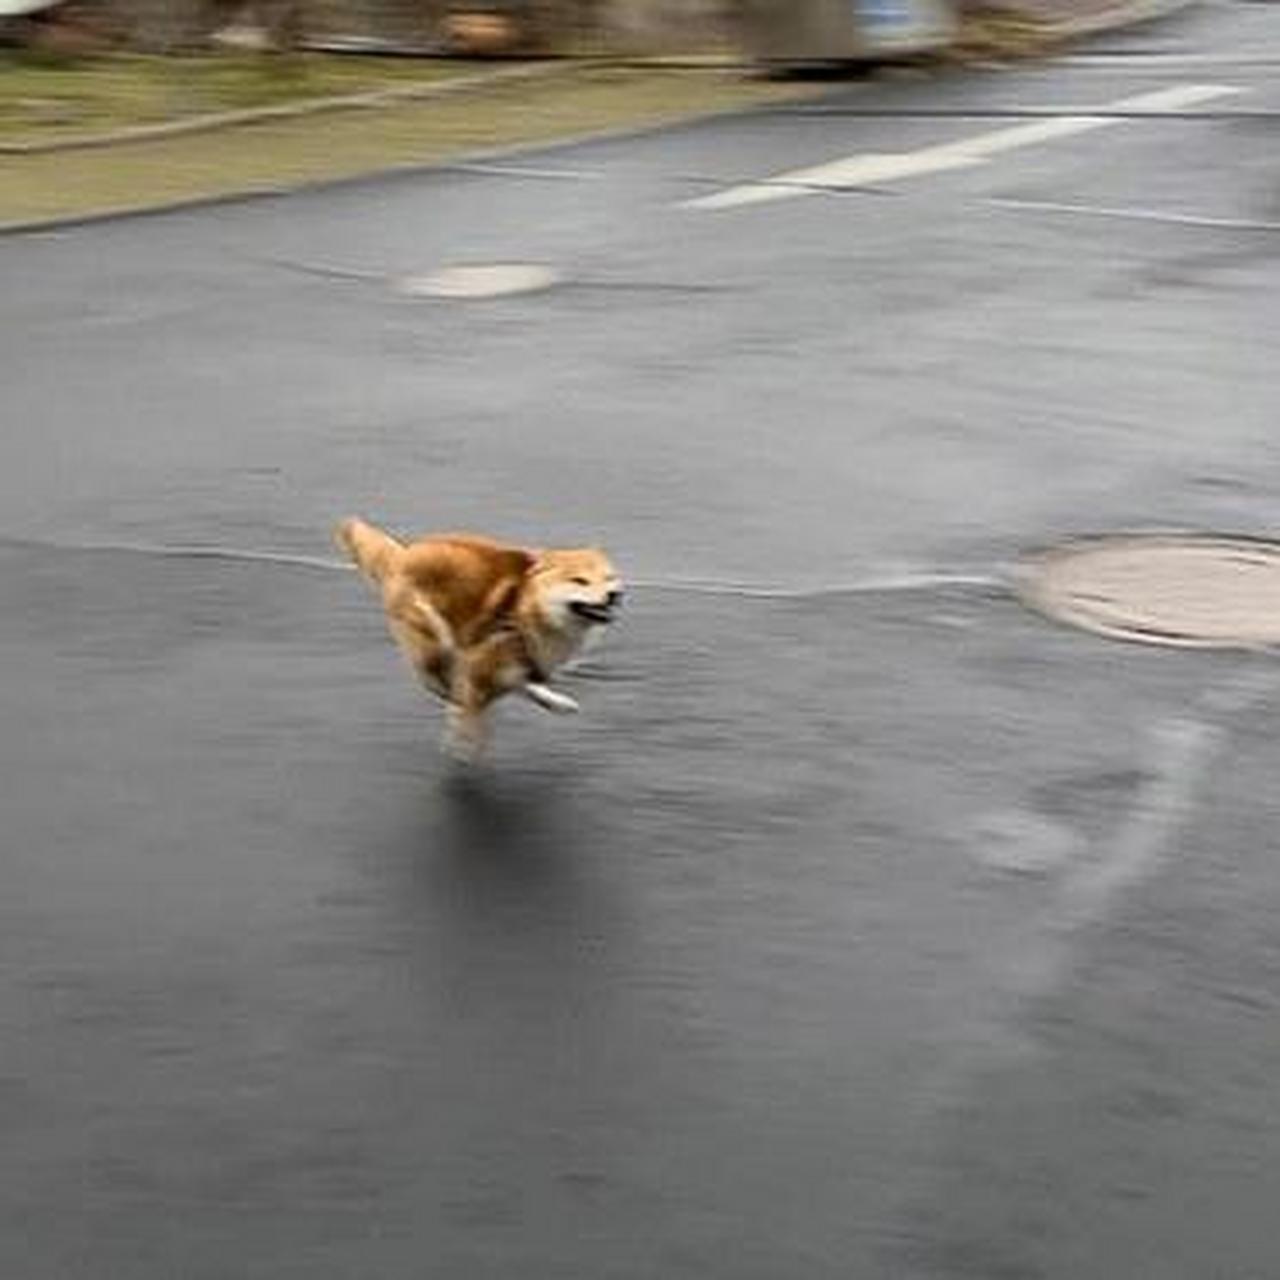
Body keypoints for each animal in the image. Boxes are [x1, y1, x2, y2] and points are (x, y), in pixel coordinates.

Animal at [337, 517, 622, 757]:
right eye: (580, 580)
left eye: (609, 578)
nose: (614, 595)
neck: (527, 608)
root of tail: (403, 553)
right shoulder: (483, 663)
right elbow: (473, 707)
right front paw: (465, 739)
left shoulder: (513, 663)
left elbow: (519, 683)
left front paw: (555, 701)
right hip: (432, 639)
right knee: (433, 677)